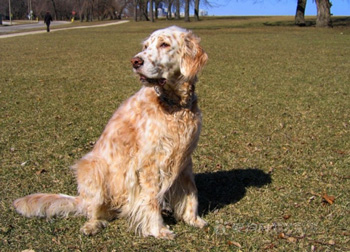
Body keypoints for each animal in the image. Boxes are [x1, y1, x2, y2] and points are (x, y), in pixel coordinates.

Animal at [14, 26, 208, 240]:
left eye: (164, 44)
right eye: (145, 46)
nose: (135, 61)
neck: (174, 105)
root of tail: (81, 199)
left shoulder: (184, 158)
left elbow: (191, 191)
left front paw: (193, 219)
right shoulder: (149, 163)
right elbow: (151, 199)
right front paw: (158, 230)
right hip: (93, 168)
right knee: (93, 211)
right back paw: (93, 225)